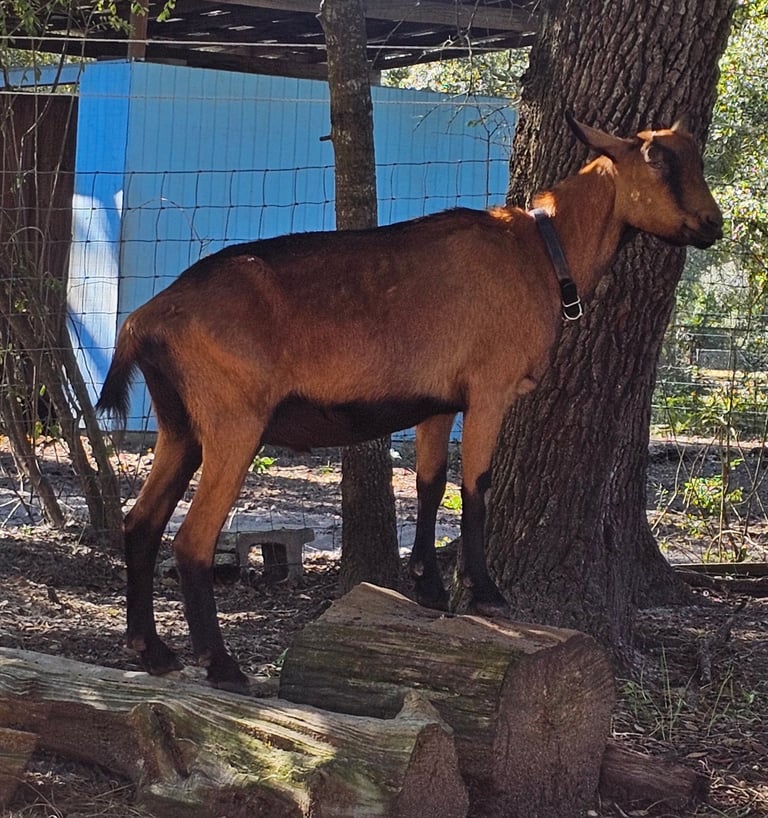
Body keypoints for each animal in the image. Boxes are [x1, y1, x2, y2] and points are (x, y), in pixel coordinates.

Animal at [98, 114, 722, 693]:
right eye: (658, 162)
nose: (711, 225)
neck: (543, 253)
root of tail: (144, 321)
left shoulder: (437, 402)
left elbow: (430, 481)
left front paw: (427, 586)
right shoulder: (489, 389)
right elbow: (476, 485)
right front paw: (486, 594)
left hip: (179, 428)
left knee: (140, 524)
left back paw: (151, 650)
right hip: (234, 423)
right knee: (191, 540)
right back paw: (221, 664)